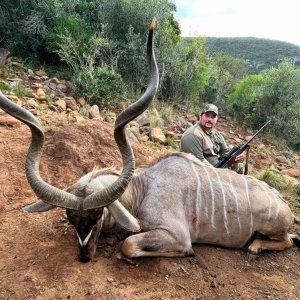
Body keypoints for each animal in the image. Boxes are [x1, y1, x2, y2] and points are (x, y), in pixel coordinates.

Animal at [0, 21, 298, 262]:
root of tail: (283, 204)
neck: (142, 189)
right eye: (70, 218)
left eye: (97, 216)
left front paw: (184, 253)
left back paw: (255, 246)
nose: (84, 256)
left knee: (286, 239)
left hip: (273, 227)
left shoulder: (175, 233)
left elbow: (130, 244)